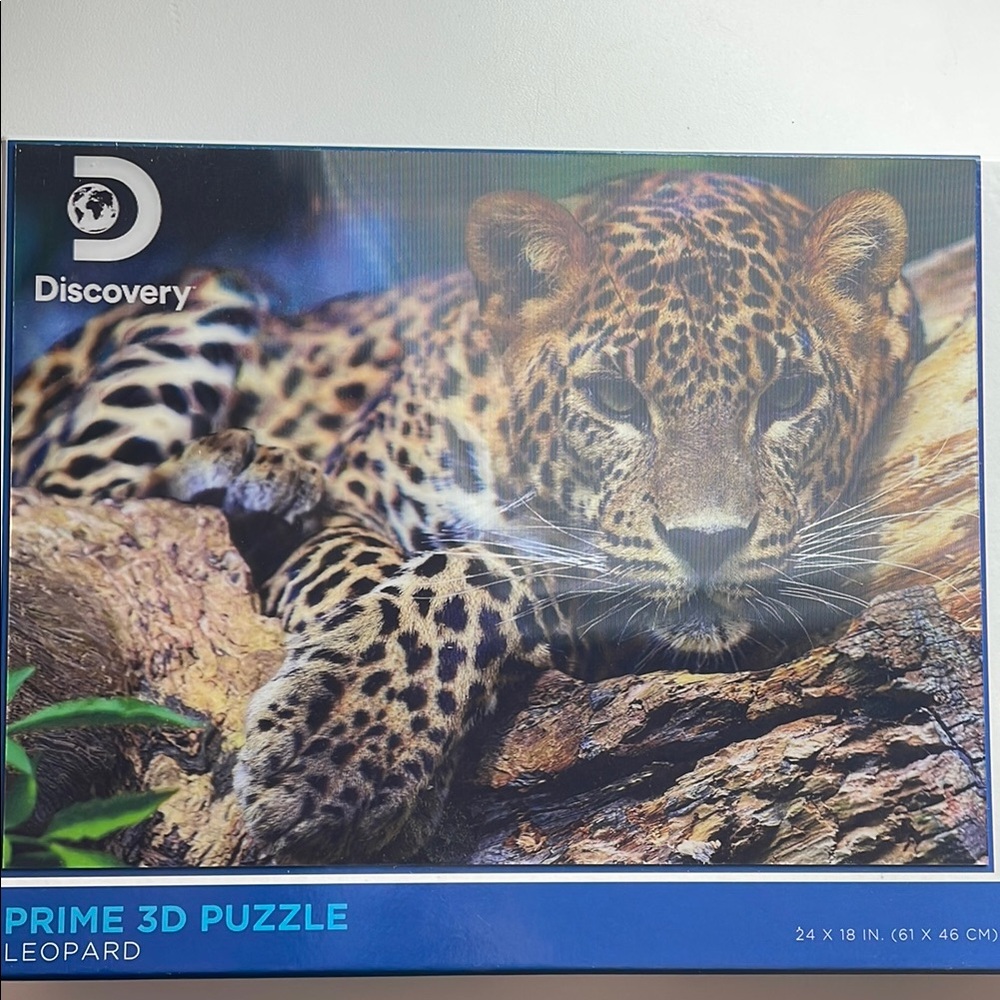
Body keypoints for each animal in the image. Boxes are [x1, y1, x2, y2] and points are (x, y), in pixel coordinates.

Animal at [9, 172, 922, 864]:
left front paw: (345, 749)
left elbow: (482, 570)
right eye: (613, 398)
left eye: (789, 398)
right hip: (213, 298)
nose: (709, 543)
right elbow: (374, 574)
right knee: (78, 495)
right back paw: (243, 467)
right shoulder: (354, 498)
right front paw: (346, 734)